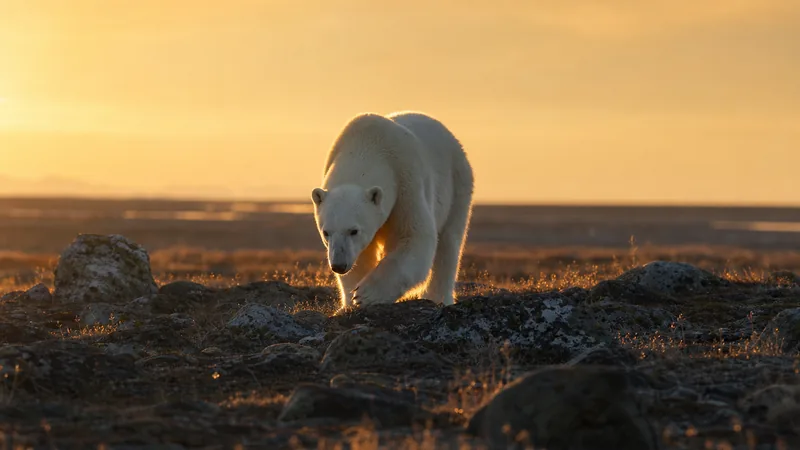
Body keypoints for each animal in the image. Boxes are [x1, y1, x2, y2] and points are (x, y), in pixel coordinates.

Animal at [311, 111, 474, 311]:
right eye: (326, 232)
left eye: (354, 230)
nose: (339, 265)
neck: (367, 144)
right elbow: (362, 255)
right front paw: (350, 302)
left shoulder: (406, 181)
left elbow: (415, 237)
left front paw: (366, 294)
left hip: (457, 183)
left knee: (449, 243)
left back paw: (437, 297)